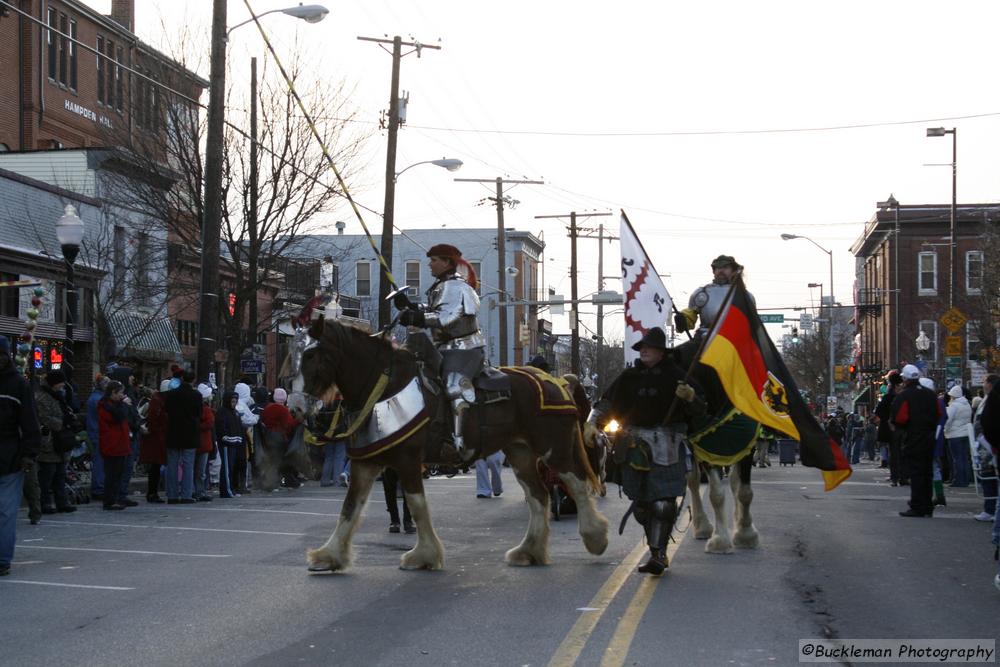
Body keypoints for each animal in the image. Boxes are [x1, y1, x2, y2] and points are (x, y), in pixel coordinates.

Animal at [290, 318, 608, 576]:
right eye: (291, 355)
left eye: (310, 354)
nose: (295, 407)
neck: (383, 385)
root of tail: (557, 382)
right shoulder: (366, 462)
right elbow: (349, 508)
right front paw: (328, 556)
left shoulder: (407, 460)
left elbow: (416, 506)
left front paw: (423, 556)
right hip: (521, 453)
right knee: (539, 496)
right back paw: (528, 551)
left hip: (553, 447)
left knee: (577, 484)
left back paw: (596, 538)